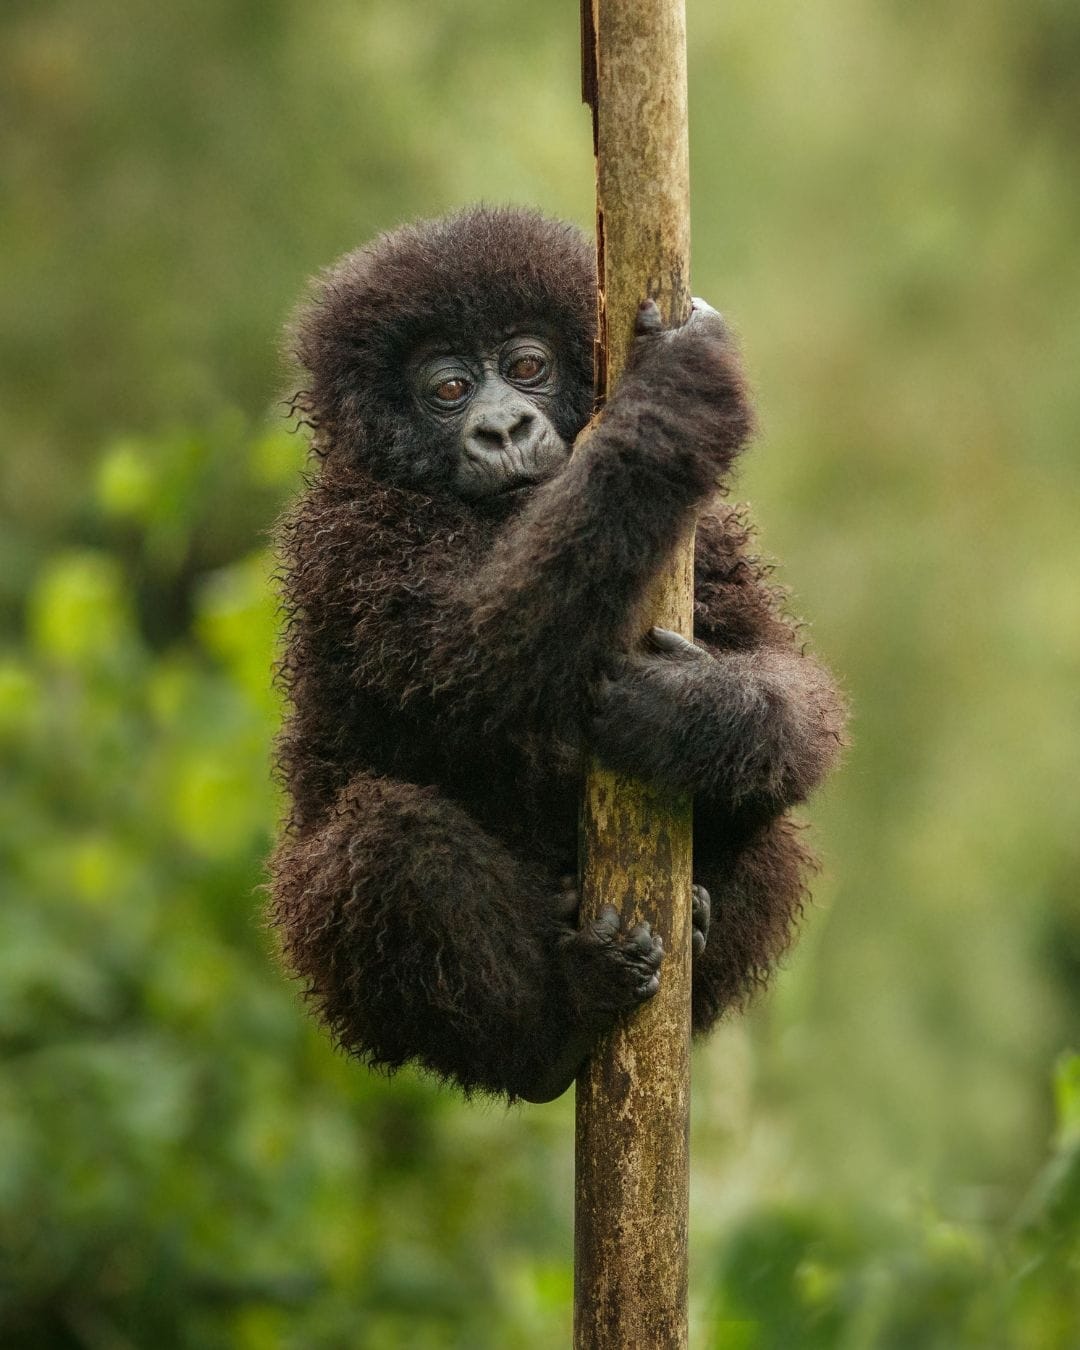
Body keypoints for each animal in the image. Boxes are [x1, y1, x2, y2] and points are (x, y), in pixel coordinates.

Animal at [269, 205, 845, 1102]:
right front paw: (673, 399)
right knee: (388, 841)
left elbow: (790, 687)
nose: (503, 426)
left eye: (528, 366)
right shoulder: (348, 540)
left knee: (773, 824)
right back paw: (554, 1029)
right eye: (448, 390)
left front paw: (689, 716)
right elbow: (473, 654)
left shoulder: (709, 536)